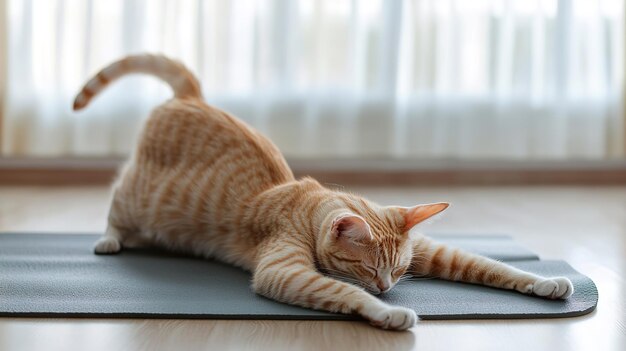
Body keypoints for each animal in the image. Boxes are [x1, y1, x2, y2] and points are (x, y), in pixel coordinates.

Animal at [72, 54, 572, 330]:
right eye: (368, 268)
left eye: (399, 268)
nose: (388, 287)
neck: (305, 201)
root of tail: (193, 98)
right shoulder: (283, 269)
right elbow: (345, 292)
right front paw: (386, 313)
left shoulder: (434, 251)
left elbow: (490, 265)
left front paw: (545, 280)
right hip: (140, 196)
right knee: (116, 199)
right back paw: (110, 238)